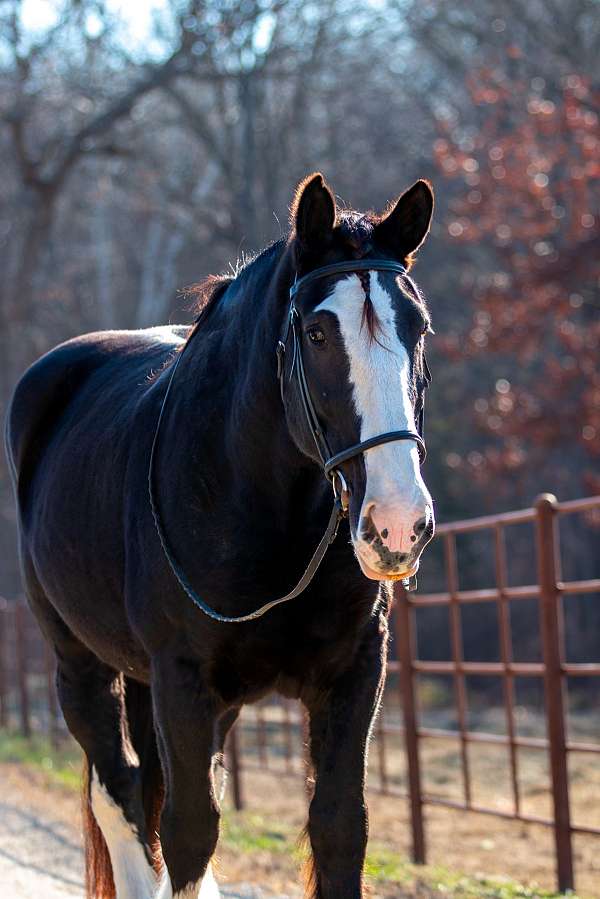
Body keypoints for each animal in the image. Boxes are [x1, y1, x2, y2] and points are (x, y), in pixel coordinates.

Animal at [4, 174, 436, 899]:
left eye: (419, 327)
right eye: (317, 332)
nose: (398, 522)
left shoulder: (353, 671)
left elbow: (340, 827)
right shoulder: (182, 680)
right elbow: (189, 830)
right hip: (80, 667)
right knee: (121, 794)